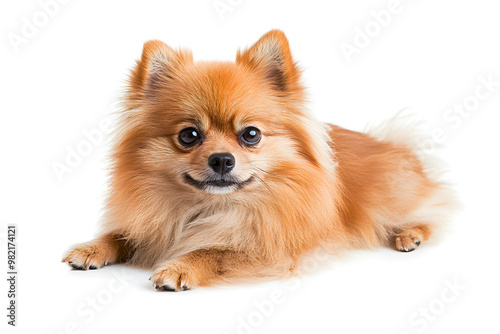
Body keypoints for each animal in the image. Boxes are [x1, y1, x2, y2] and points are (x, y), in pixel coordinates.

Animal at [61, 30, 458, 290]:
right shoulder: (150, 225)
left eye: (250, 134)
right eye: (189, 136)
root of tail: (392, 144)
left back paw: (410, 235)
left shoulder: (275, 251)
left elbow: (214, 251)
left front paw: (182, 266)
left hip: (391, 201)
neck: (207, 209)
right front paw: (92, 247)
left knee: (431, 213)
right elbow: (120, 234)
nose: (222, 160)